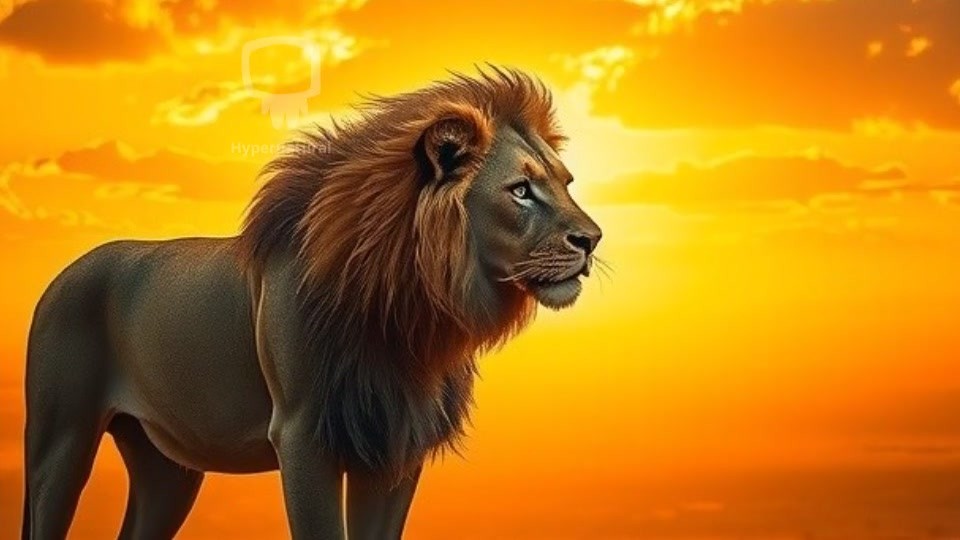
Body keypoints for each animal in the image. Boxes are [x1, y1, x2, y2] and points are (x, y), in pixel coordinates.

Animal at [22, 68, 601, 539]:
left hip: (167, 466)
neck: (410, 313)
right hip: (61, 441)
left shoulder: (393, 444)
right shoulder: (303, 436)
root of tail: (62, 275)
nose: (592, 239)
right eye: (521, 189)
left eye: (566, 182)